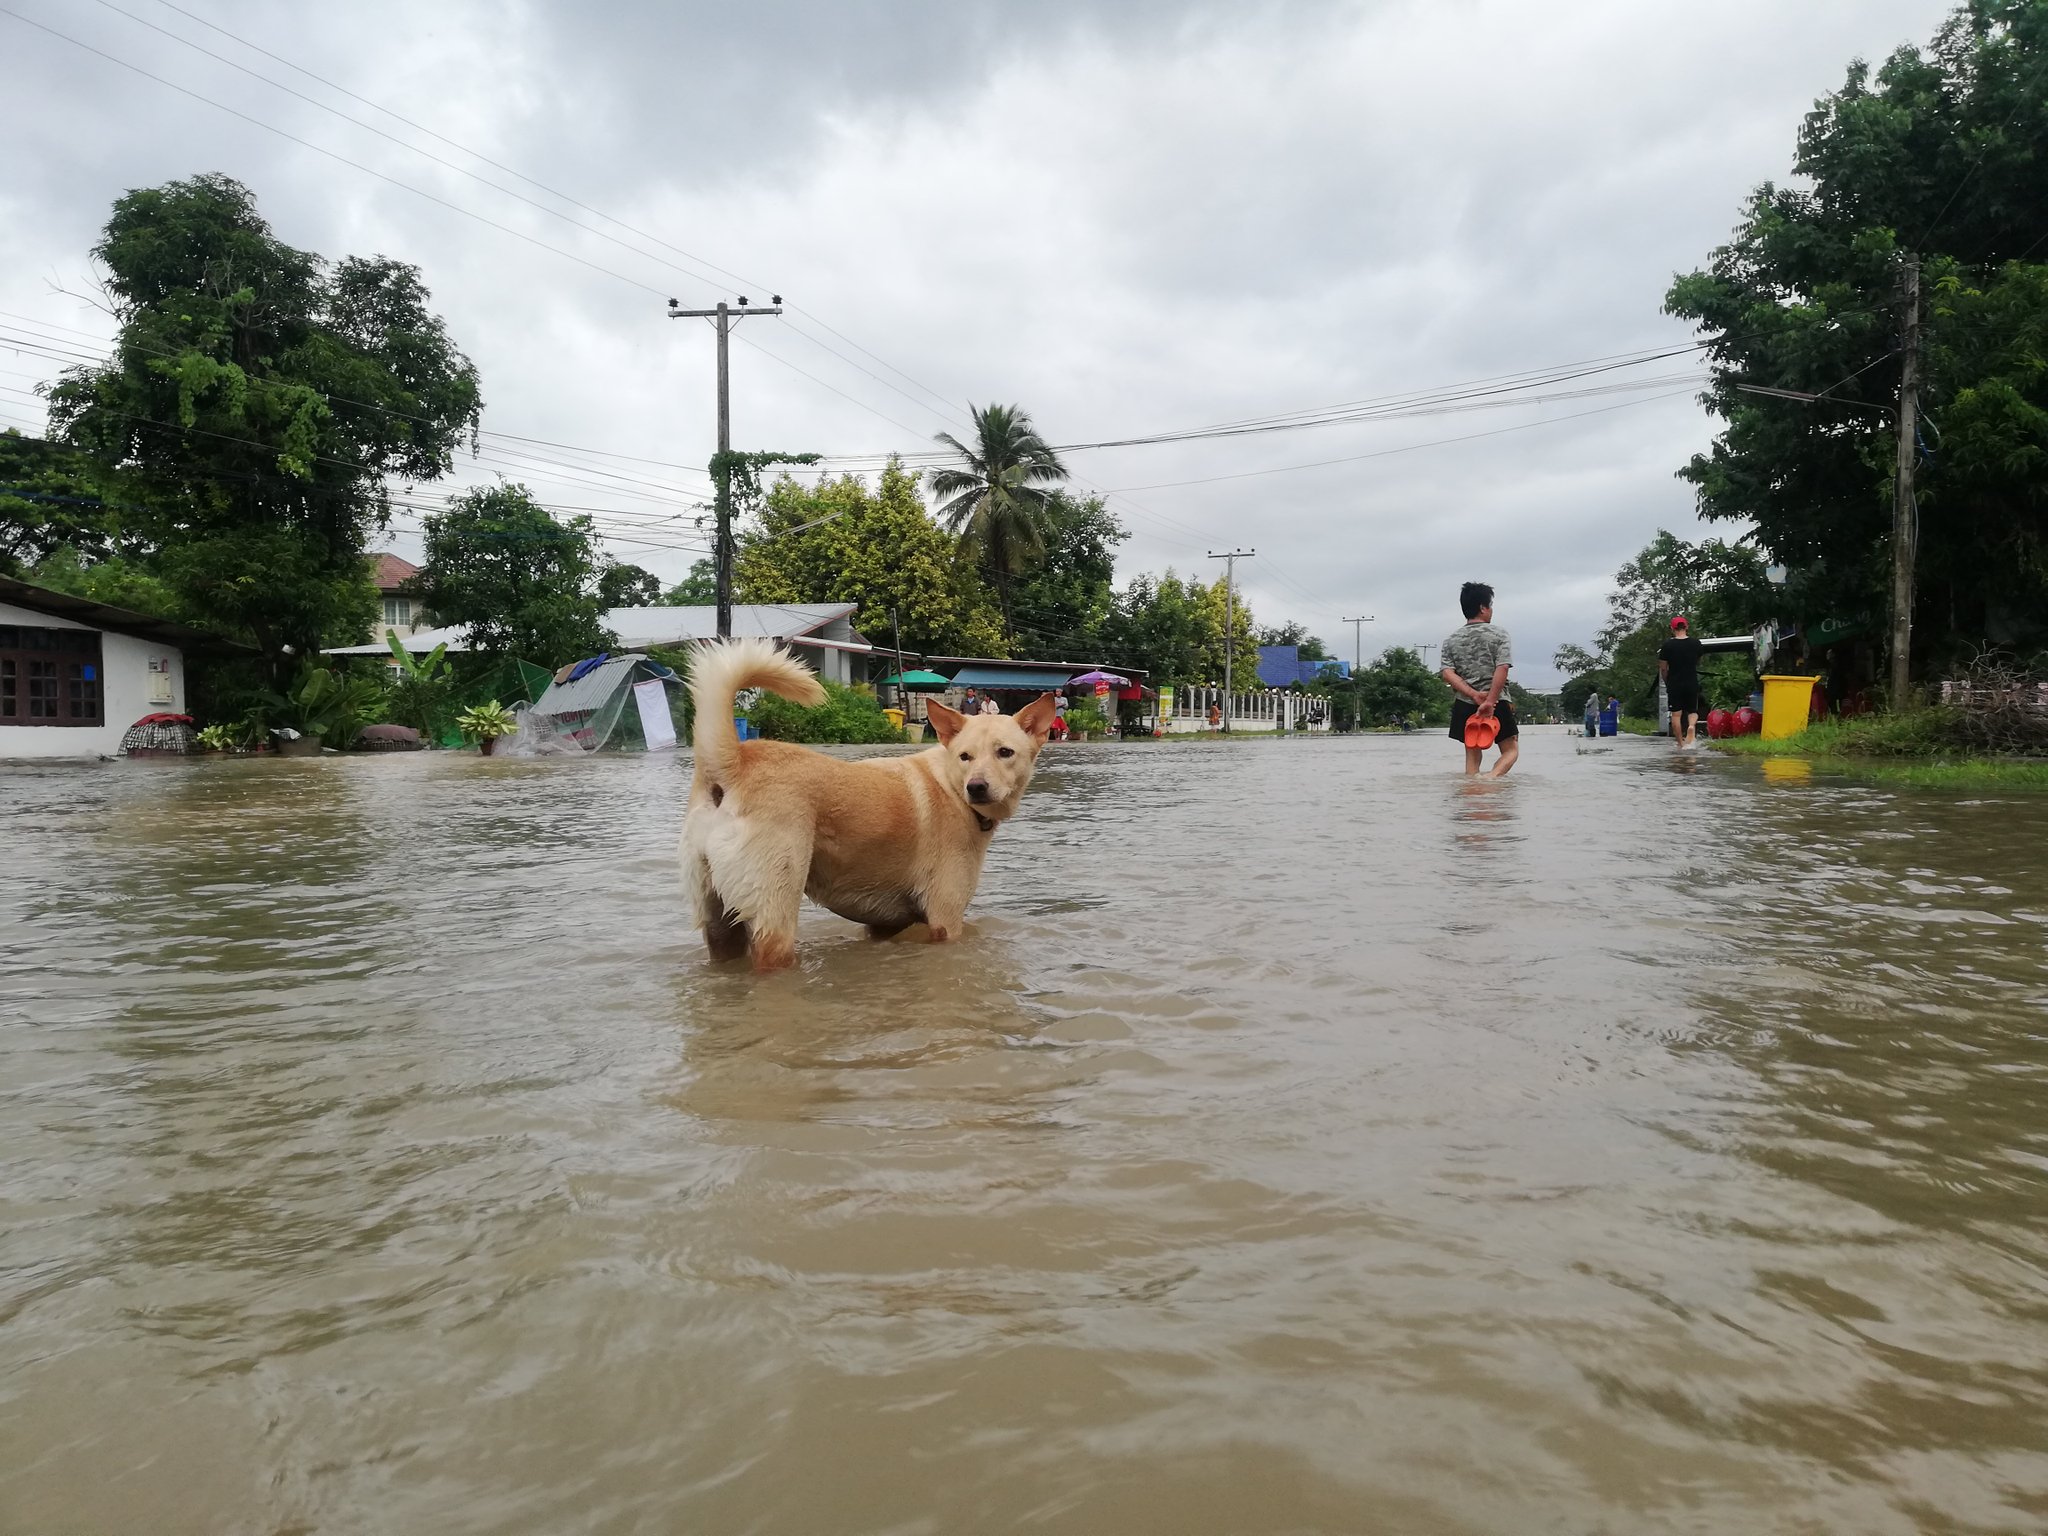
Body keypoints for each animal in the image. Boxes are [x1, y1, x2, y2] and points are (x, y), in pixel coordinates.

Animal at [679, 638, 1056, 974]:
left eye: (1004, 752)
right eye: (966, 756)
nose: (976, 787)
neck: (950, 785)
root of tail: (735, 760)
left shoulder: (883, 925)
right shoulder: (945, 920)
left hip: (719, 923)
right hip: (775, 914)